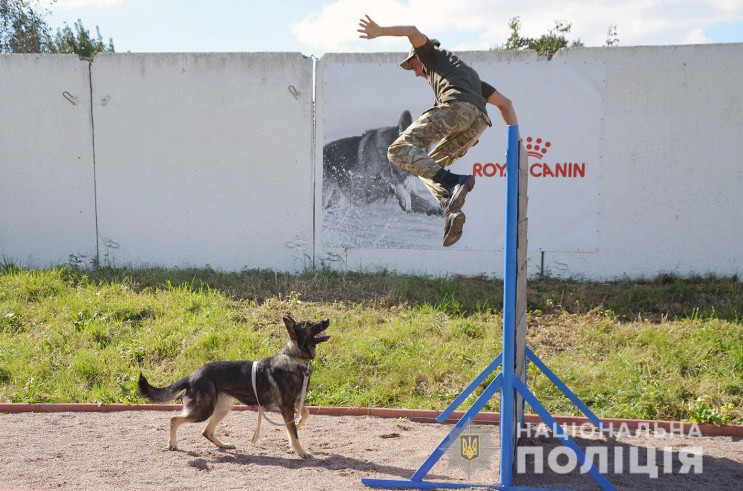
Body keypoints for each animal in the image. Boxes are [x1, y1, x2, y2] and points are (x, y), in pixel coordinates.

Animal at [138, 318, 330, 460]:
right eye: (309, 324)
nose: (326, 320)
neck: (294, 359)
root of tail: (192, 375)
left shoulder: (295, 402)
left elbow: (304, 415)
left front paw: (298, 425)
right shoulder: (287, 407)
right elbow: (294, 433)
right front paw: (301, 452)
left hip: (221, 409)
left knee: (206, 431)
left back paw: (224, 445)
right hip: (203, 411)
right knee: (174, 419)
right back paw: (172, 444)